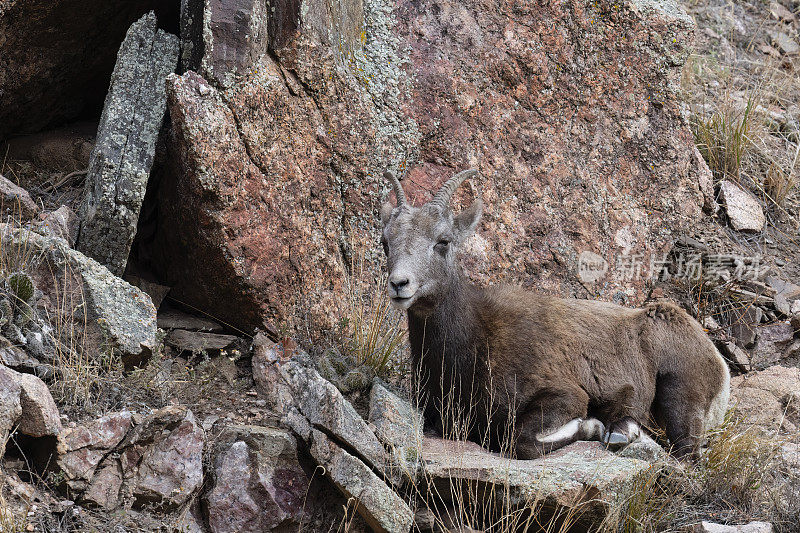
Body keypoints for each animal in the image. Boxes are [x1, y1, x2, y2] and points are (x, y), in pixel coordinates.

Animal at [382, 168, 732, 456]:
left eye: (442, 242)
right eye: (386, 242)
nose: (400, 284)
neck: (472, 345)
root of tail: (720, 366)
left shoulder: (564, 397)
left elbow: (520, 441)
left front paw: (591, 426)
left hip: (679, 399)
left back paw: (620, 431)